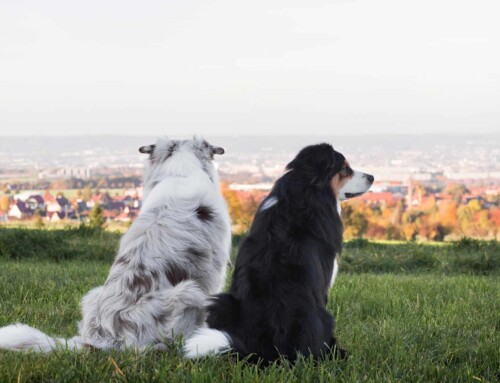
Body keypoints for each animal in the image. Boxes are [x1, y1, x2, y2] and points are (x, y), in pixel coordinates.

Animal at [186, 143, 374, 364]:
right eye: (345, 168)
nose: (372, 177)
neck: (305, 192)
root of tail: (268, 352)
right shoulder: (324, 282)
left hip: (221, 302)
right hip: (324, 317)